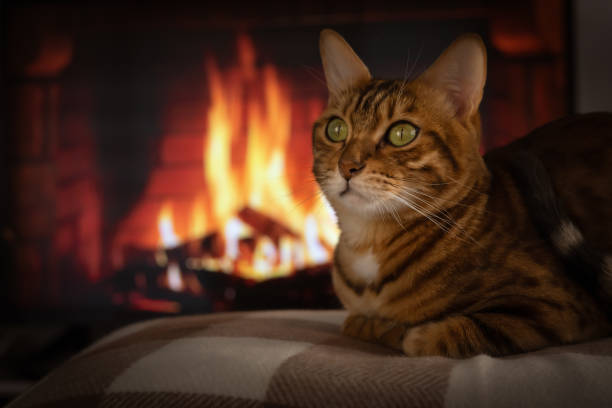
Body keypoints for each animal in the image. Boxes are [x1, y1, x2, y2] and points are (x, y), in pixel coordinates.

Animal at [314, 28, 612, 356]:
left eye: (401, 133)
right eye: (336, 129)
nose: (347, 166)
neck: (368, 244)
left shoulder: (557, 306)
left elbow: (433, 336)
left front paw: (393, 329)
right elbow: (359, 320)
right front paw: (372, 323)